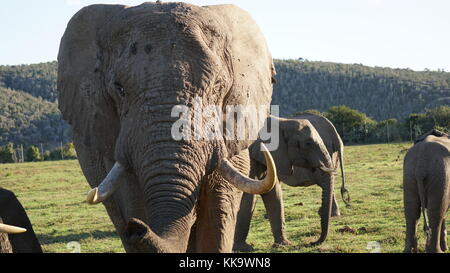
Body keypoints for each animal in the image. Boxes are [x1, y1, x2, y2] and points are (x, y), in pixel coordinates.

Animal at [59, 2, 278, 253]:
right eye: (119, 89)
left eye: (217, 87)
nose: (136, 228)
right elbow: (134, 201)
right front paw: (139, 223)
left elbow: (216, 217)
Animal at [232, 113, 348, 251]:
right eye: (308, 144)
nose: (311, 242)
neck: (281, 122)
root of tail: (335, 134)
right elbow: (251, 193)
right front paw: (242, 248)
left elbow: (272, 192)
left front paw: (283, 245)